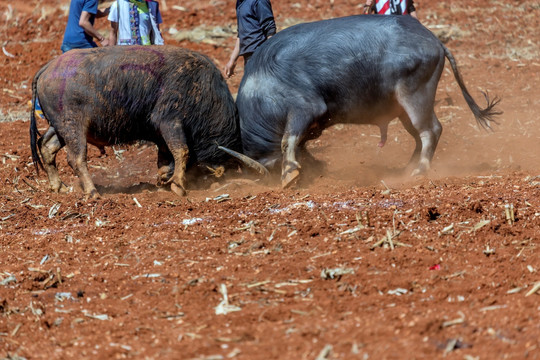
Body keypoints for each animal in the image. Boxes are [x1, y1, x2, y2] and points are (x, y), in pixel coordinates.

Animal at [236, 15, 502, 187]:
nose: (319, 169)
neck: (263, 84)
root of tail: (435, 41)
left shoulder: (303, 109)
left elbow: (287, 140)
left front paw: (288, 175)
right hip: (405, 110)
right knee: (420, 136)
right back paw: (406, 169)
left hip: (415, 96)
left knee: (431, 131)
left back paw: (419, 170)